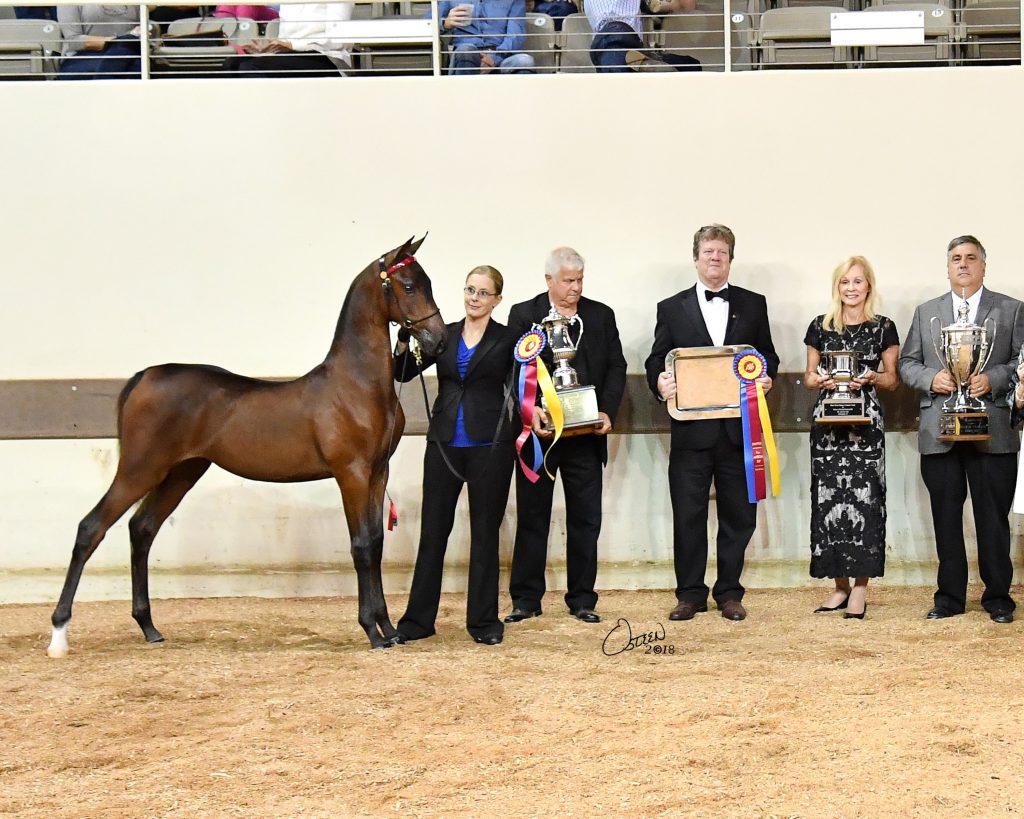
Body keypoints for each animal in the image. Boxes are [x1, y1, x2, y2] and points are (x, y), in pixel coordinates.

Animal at [46, 236, 447, 656]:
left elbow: (376, 544)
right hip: (140, 470)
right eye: (408, 286)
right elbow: (362, 546)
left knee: (141, 529)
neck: (356, 385)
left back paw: (149, 627)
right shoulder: (351, 474)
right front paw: (372, 630)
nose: (439, 340)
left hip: (181, 473)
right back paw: (59, 634)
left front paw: (389, 628)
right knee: (91, 528)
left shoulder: (376, 473)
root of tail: (144, 376)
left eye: (427, 283)